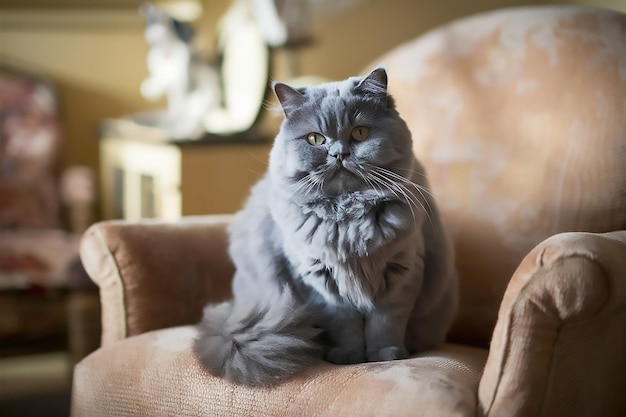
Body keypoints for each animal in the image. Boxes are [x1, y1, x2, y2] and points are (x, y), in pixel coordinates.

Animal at [193, 67, 456, 386]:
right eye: (315, 139)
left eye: (359, 133)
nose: (339, 154)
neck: (349, 219)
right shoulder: (319, 283)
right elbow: (344, 324)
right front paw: (347, 355)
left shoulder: (402, 273)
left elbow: (386, 323)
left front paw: (386, 354)